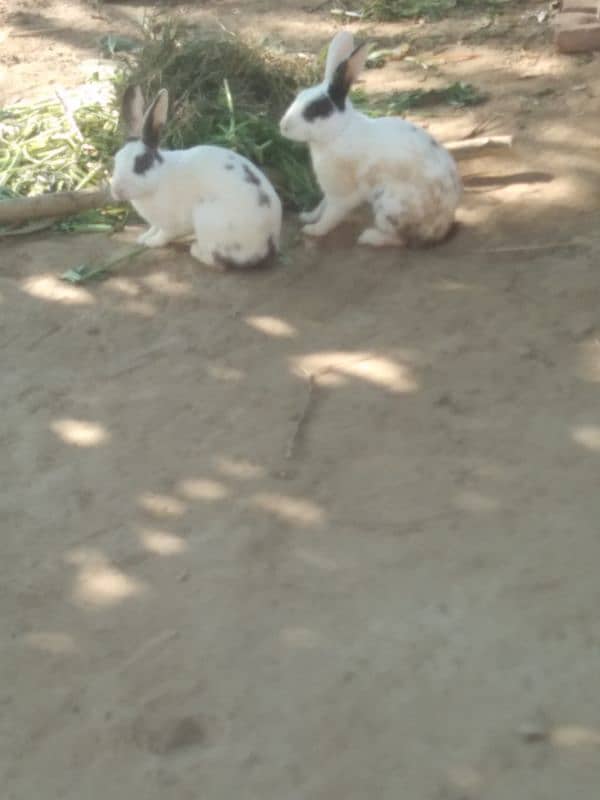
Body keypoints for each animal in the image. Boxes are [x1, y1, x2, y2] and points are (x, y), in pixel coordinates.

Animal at [111, 86, 282, 268]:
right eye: (116, 159)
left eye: (142, 164)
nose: (117, 190)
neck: (159, 178)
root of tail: (269, 243)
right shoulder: (156, 222)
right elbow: (153, 228)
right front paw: (143, 238)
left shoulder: (172, 224)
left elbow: (164, 235)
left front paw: (151, 242)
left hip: (207, 221)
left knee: (218, 260)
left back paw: (195, 250)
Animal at [278, 30, 462, 247]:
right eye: (299, 96)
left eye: (316, 110)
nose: (283, 126)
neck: (339, 131)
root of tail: (440, 228)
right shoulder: (329, 190)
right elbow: (321, 206)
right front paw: (307, 216)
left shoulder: (342, 193)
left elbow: (331, 215)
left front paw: (313, 230)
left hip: (389, 205)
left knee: (400, 239)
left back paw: (369, 237)